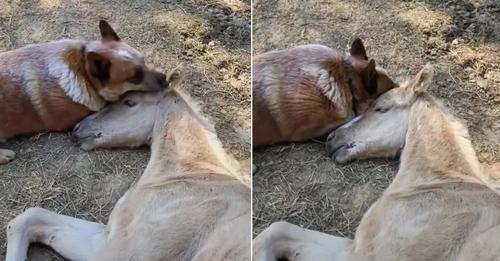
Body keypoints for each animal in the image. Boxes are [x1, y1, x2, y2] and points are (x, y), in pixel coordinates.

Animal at [5, 71, 250, 260]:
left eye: (130, 102)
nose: (78, 129)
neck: (191, 175)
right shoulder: (107, 236)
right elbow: (29, 218)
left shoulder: (124, 251)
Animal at [256, 64, 500, 258]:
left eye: (381, 109)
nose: (331, 139)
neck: (440, 184)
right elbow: (279, 229)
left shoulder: (365, 253)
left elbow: (275, 231)